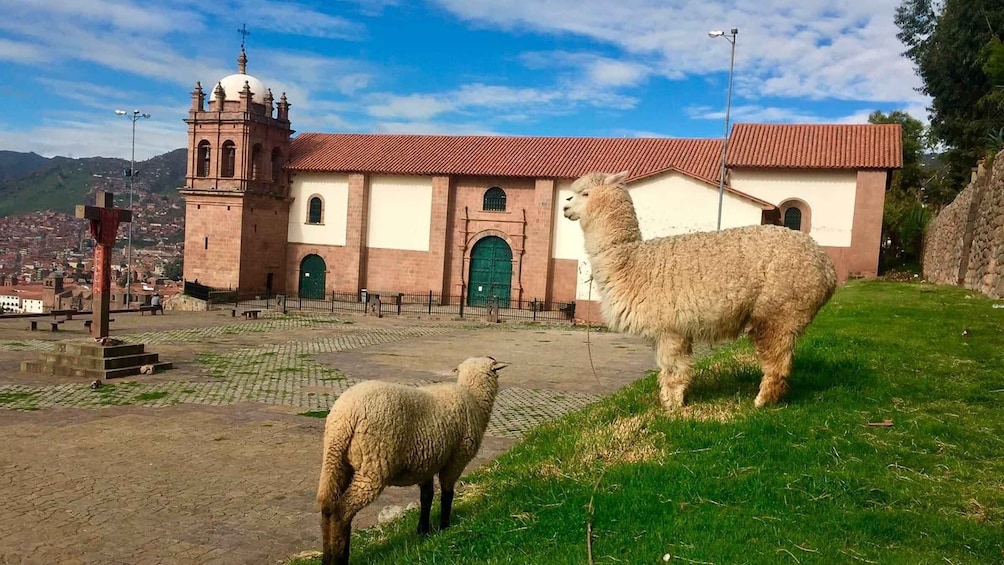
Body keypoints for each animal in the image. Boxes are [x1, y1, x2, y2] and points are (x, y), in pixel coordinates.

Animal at [315, 357, 506, 565]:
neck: (473, 398)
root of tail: (345, 417)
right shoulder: (456, 459)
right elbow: (447, 493)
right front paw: (445, 526)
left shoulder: (427, 462)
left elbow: (426, 496)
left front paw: (423, 531)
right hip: (373, 466)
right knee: (342, 511)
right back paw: (340, 558)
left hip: (337, 462)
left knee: (327, 509)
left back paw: (328, 556)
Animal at [566, 170, 839, 409]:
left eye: (585, 193)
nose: (565, 207)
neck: (632, 263)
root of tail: (827, 267)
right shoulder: (675, 329)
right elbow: (673, 368)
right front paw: (671, 401)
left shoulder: (670, 328)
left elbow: (674, 369)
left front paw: (672, 407)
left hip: (779, 310)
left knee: (777, 360)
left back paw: (761, 402)